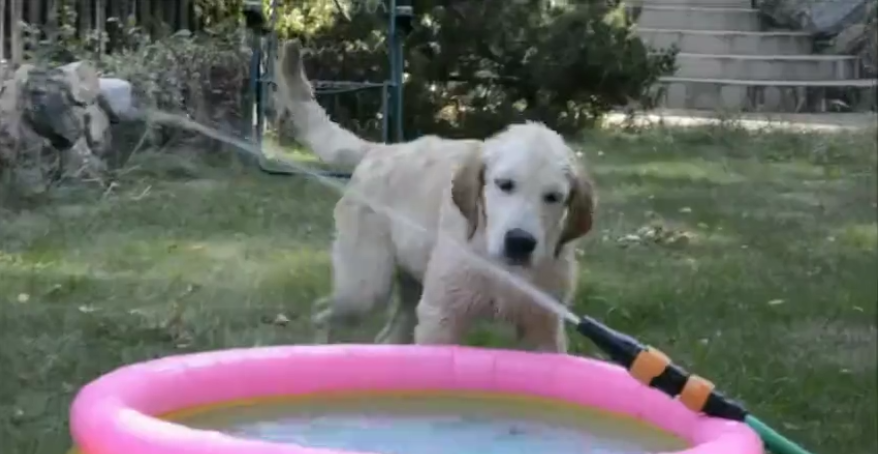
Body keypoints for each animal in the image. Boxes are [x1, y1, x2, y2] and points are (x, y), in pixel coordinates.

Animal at [276, 40, 600, 352]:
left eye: (553, 197)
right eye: (504, 184)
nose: (519, 242)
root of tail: (381, 149)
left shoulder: (543, 327)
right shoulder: (442, 318)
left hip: (409, 288)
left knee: (387, 338)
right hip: (365, 287)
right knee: (322, 313)